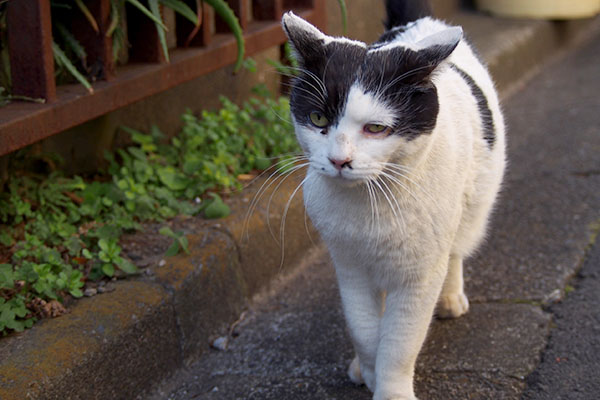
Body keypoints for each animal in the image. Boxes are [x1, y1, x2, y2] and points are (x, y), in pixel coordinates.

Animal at [282, 0, 506, 400]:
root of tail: (418, 24)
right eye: (318, 117)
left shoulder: (419, 275)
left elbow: (400, 340)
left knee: (456, 250)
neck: (371, 202)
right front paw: (369, 369)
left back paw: (450, 298)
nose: (339, 160)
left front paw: (391, 390)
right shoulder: (350, 268)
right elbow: (366, 329)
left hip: (474, 205)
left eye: (375, 128)